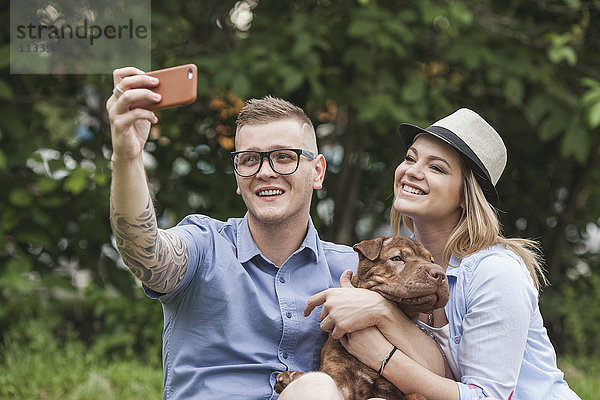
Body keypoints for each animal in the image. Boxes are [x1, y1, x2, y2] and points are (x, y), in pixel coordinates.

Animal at [274, 238, 448, 400]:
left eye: (432, 261)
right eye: (397, 258)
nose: (439, 274)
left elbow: (416, 394)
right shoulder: (340, 383)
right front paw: (290, 376)